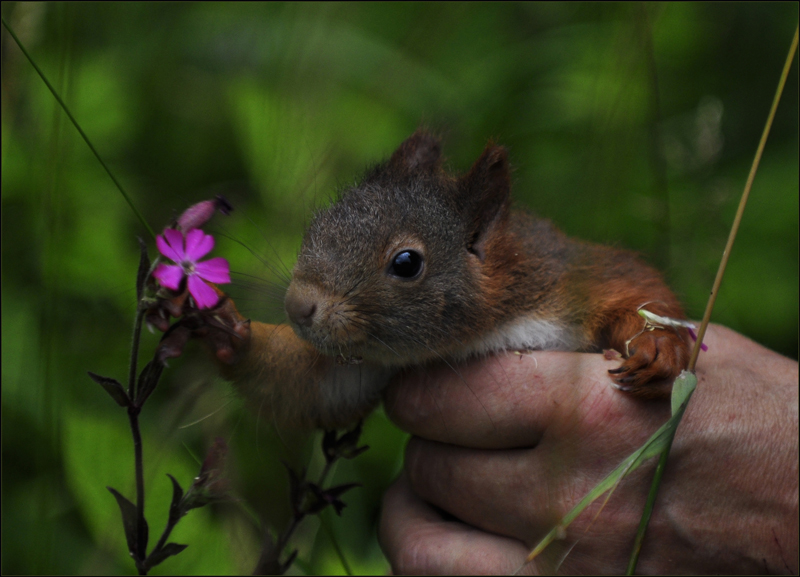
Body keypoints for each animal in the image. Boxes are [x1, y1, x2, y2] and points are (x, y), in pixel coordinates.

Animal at [203, 130, 692, 428]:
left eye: (406, 263)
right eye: (318, 224)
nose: (297, 306)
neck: (488, 326)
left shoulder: (569, 276)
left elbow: (631, 284)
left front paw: (658, 346)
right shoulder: (370, 367)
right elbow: (311, 388)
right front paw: (231, 331)